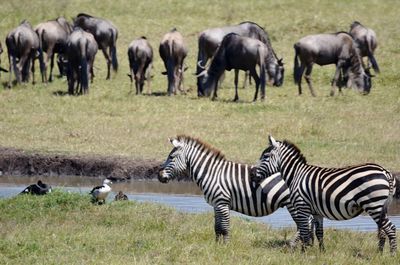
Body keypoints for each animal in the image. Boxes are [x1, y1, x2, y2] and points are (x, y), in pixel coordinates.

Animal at [158, 135, 302, 242]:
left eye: (171, 157)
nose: (159, 176)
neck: (211, 173)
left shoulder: (222, 202)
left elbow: (225, 228)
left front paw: (226, 247)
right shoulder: (216, 204)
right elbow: (217, 227)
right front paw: (217, 246)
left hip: (293, 204)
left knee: (302, 225)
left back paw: (293, 246)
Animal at [253, 135, 396, 253]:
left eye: (265, 157)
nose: (252, 176)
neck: (296, 175)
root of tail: (384, 171)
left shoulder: (302, 206)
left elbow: (304, 232)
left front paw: (304, 253)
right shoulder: (316, 211)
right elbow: (319, 233)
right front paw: (322, 252)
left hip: (373, 205)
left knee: (390, 228)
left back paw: (392, 255)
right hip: (381, 207)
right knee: (383, 230)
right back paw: (379, 253)